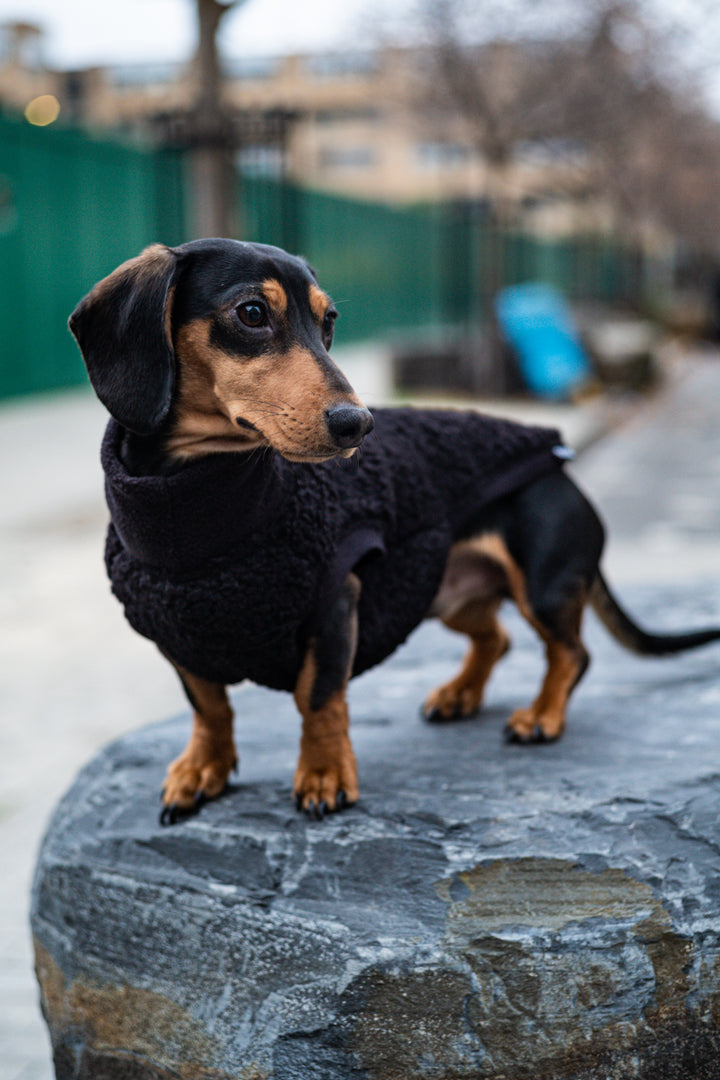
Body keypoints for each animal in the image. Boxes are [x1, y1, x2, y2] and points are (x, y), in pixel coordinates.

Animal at [70, 240, 720, 820]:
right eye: (252, 313)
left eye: (328, 321)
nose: (358, 424)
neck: (196, 507)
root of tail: (560, 460)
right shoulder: (176, 634)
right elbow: (208, 706)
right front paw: (203, 767)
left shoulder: (337, 599)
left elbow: (319, 698)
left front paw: (324, 773)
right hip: (442, 588)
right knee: (497, 639)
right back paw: (461, 693)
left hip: (543, 584)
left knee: (572, 653)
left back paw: (542, 716)